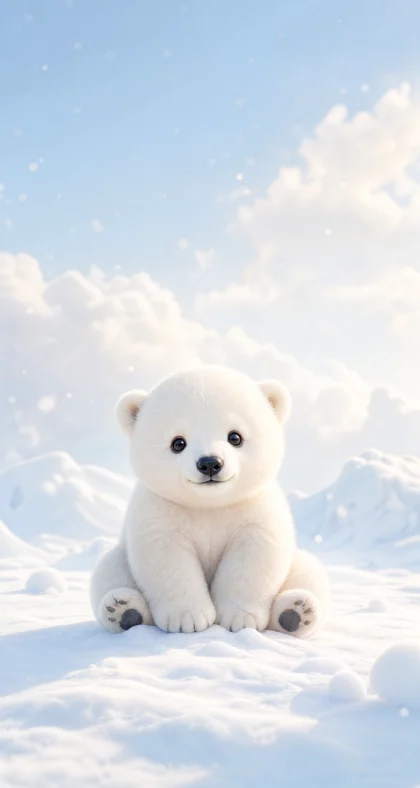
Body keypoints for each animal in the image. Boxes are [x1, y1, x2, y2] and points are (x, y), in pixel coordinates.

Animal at [91, 366, 329, 636]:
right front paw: (188, 618)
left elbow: (253, 555)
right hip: (120, 559)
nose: (210, 463)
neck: (209, 505)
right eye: (178, 442)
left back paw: (295, 612)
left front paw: (240, 618)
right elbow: (167, 557)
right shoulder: (160, 509)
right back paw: (124, 610)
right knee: (107, 571)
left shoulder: (253, 507)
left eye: (235, 437)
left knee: (309, 572)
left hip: (296, 564)